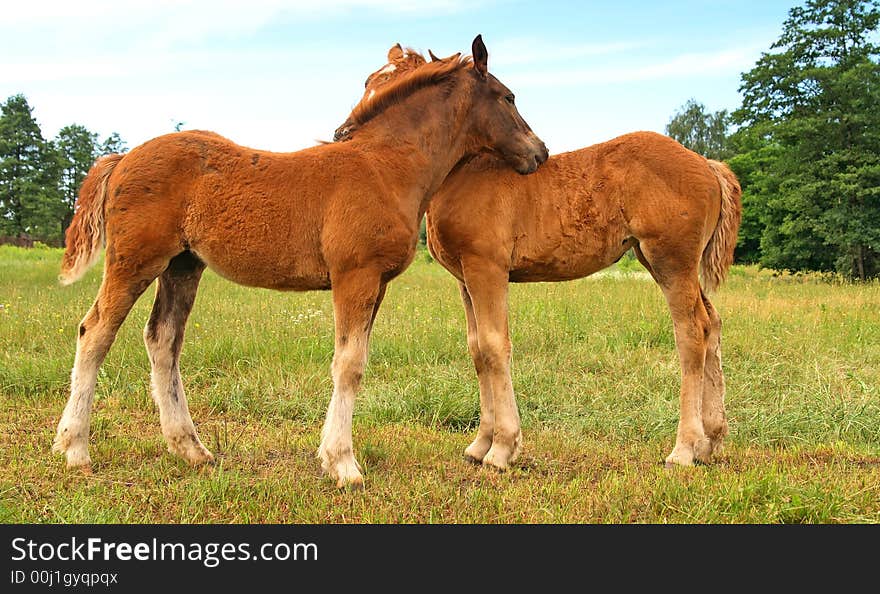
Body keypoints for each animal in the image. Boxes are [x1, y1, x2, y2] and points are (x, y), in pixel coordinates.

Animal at [51, 34, 548, 486]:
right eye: (509, 96)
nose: (539, 152)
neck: (385, 168)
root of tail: (122, 158)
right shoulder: (355, 275)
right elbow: (349, 364)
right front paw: (344, 465)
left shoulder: (377, 283)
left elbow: (354, 358)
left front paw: (330, 455)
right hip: (135, 261)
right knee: (95, 333)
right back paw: (75, 449)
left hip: (182, 265)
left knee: (162, 340)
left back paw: (191, 449)